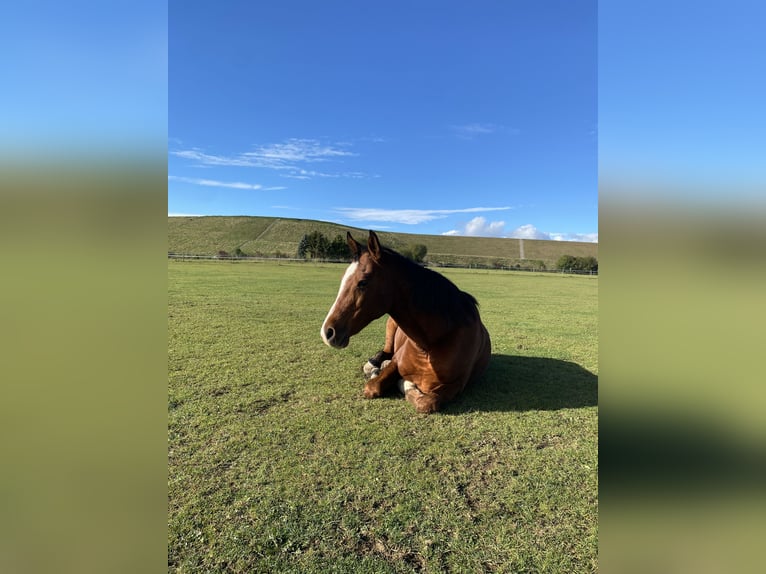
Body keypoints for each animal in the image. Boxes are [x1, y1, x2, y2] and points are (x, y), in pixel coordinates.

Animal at [320, 230, 491, 413]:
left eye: (363, 282)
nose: (327, 332)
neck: (429, 345)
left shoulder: (456, 385)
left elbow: (427, 402)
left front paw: (406, 384)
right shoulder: (396, 362)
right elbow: (373, 386)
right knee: (385, 352)